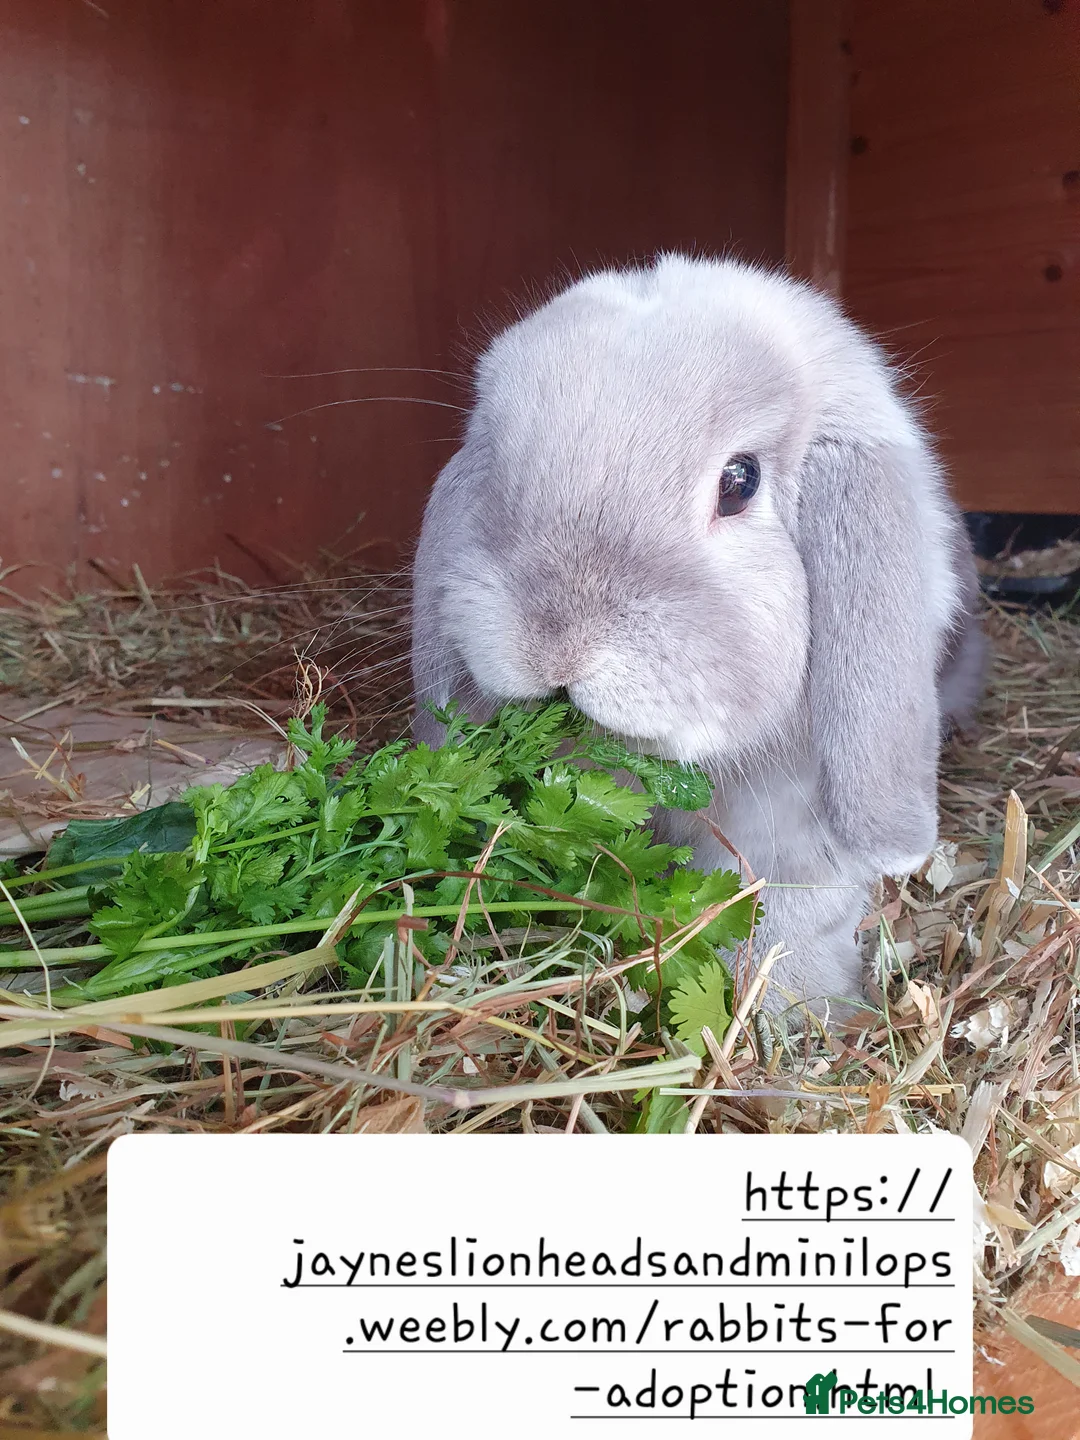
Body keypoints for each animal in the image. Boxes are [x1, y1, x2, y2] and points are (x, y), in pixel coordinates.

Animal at [410, 254, 986, 1017]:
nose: (556, 644)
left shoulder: (795, 827)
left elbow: (782, 908)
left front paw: (794, 1009)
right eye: (493, 460)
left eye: (740, 481)